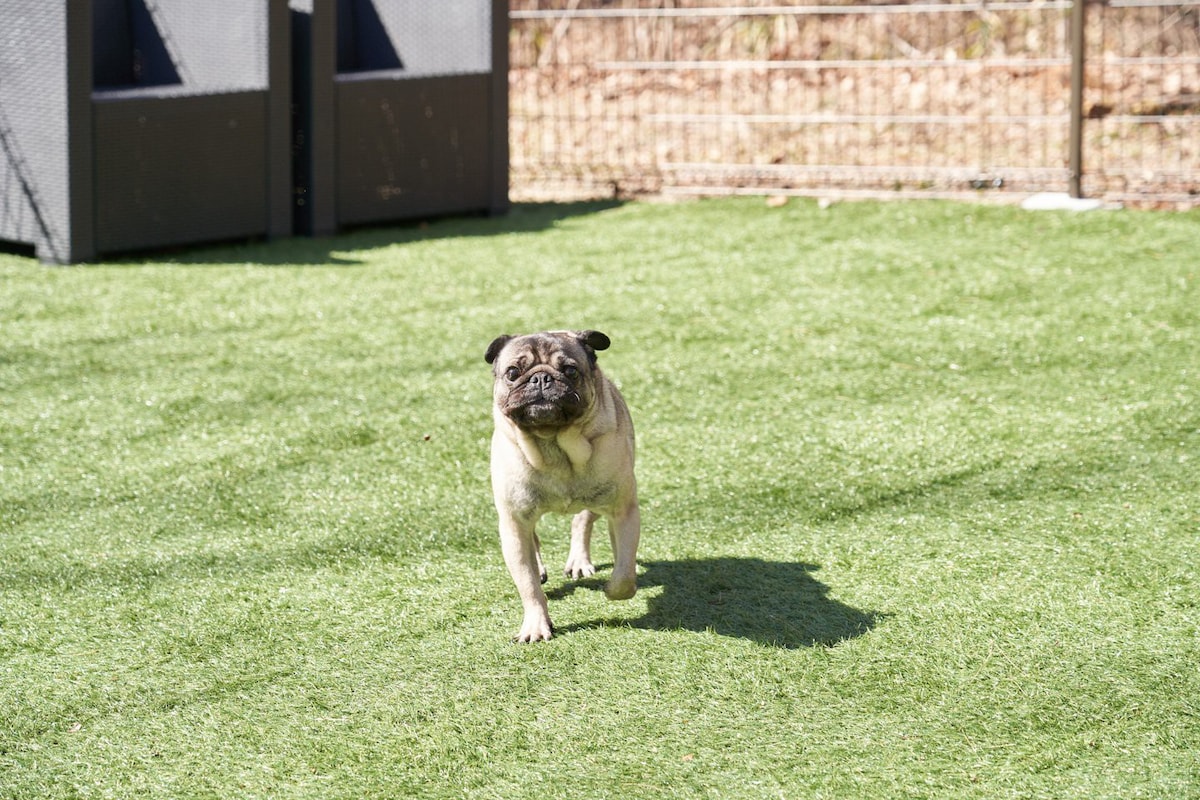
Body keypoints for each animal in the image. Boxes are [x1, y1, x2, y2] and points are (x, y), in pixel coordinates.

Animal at [484, 328, 643, 642]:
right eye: (513, 373)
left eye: (570, 371)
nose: (541, 378)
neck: (554, 444)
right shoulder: (513, 522)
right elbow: (528, 585)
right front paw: (535, 625)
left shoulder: (623, 511)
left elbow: (624, 573)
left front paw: (613, 588)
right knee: (534, 541)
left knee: (582, 521)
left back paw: (580, 562)